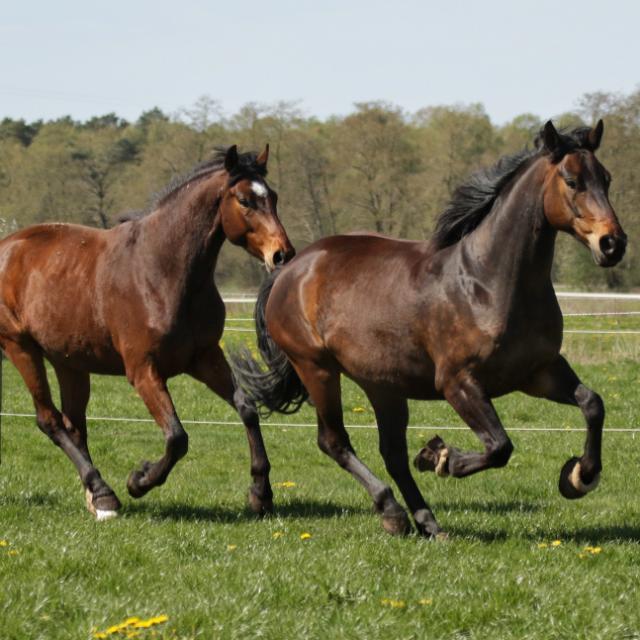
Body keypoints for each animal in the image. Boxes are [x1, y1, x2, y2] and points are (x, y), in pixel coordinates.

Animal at [0, 145, 294, 520]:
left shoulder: (204, 357)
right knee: (49, 420)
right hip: (21, 349)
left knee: (74, 425)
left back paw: (95, 498)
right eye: (244, 200)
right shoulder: (143, 371)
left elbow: (246, 408)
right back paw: (106, 496)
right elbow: (177, 437)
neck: (161, 270)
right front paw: (138, 481)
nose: (282, 254)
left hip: (69, 362)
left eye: (273, 196)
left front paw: (260, 493)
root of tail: (7, 247)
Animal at [231, 120, 627, 538]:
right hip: (317, 369)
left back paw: (427, 522)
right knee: (334, 442)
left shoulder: (538, 372)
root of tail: (290, 267)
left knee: (391, 453)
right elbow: (499, 446)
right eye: (572, 181)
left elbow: (593, 404)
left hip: (382, 385)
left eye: (606, 178)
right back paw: (392, 512)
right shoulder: (458, 383)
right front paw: (440, 457)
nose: (613, 243)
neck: (487, 281)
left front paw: (578, 476)